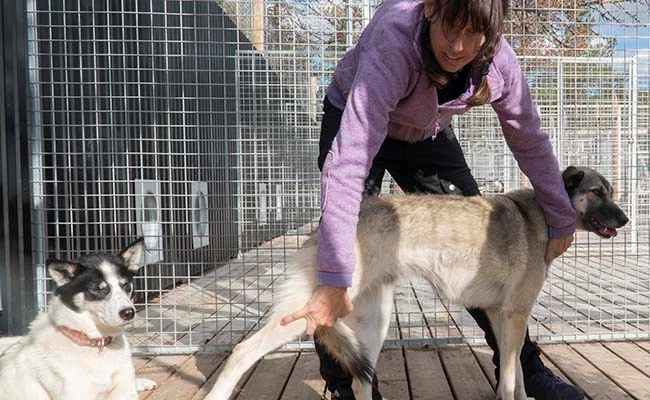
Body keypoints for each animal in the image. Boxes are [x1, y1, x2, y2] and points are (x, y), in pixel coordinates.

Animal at [205, 166, 624, 400]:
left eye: (612, 193)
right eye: (597, 193)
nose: (625, 220)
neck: (541, 213)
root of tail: (326, 224)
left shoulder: (502, 318)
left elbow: (516, 373)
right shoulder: (515, 315)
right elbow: (508, 380)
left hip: (374, 324)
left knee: (361, 382)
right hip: (309, 314)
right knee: (242, 351)